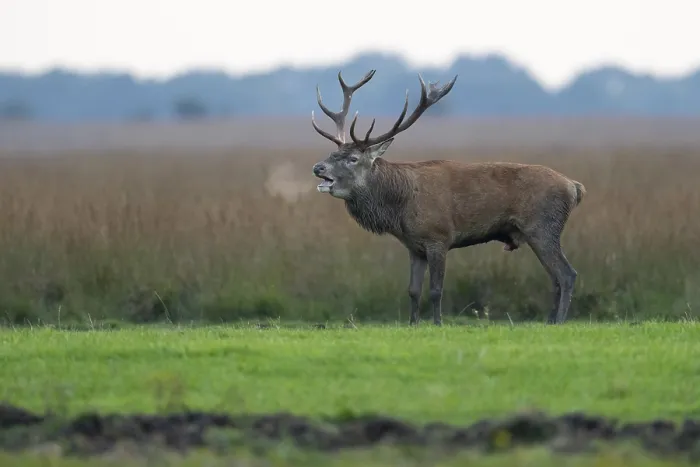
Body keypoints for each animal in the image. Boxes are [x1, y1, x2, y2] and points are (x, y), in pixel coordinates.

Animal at [310, 69, 586, 326]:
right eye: (332, 154)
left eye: (353, 158)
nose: (318, 167)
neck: (399, 208)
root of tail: (574, 187)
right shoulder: (414, 247)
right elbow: (413, 291)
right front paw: (412, 324)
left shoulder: (438, 238)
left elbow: (435, 290)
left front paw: (437, 324)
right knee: (555, 278)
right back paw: (549, 321)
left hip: (542, 227)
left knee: (567, 274)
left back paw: (559, 321)